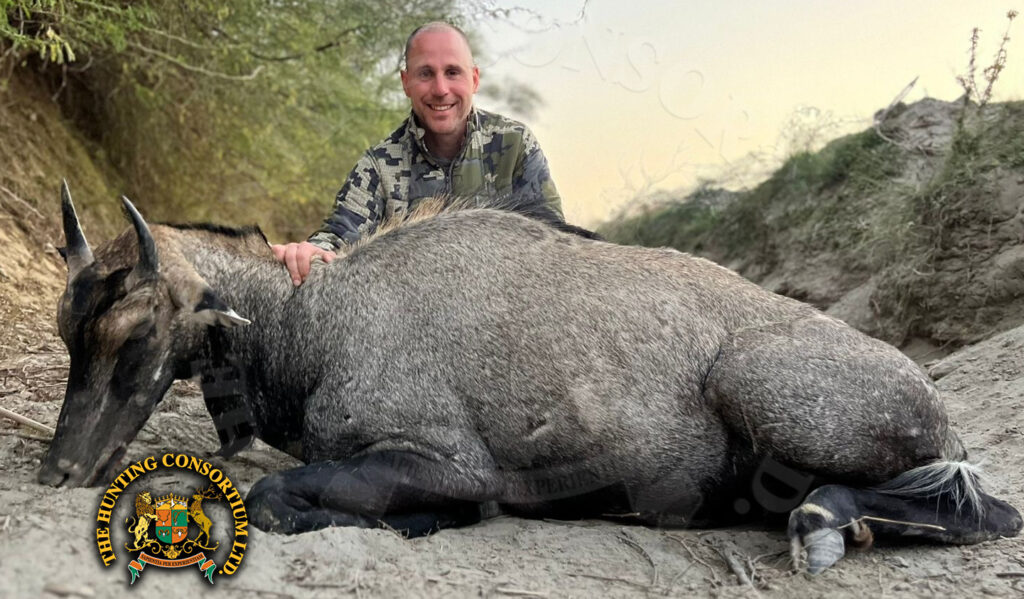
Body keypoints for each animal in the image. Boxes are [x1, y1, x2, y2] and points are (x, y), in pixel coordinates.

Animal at [39, 181, 1021, 574]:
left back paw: (821, 525)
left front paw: (423, 519)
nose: (58, 469)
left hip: (763, 388)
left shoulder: (449, 460)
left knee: (982, 508)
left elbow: (279, 494)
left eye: (135, 337)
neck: (316, 319)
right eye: (66, 331)